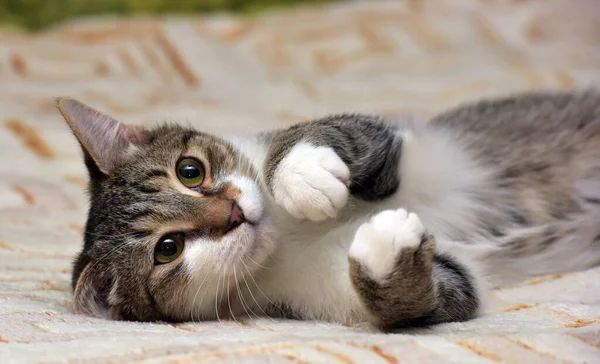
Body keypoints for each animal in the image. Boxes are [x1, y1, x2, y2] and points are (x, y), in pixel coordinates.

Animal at [57, 89, 600, 330]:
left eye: (190, 171)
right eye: (168, 249)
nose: (234, 214)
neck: (286, 238)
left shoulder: (389, 140)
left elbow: (333, 131)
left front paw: (303, 177)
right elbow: (425, 299)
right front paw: (386, 249)